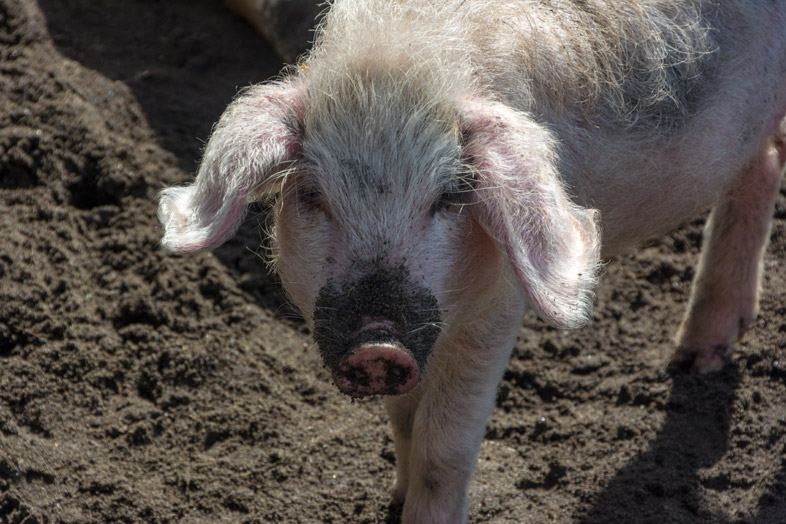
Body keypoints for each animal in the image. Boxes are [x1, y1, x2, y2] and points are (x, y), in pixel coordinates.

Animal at [158, 1, 786, 522]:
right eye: (313, 196)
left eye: (451, 196)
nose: (377, 343)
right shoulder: (422, 335)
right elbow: (404, 420)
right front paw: (394, 499)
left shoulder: (498, 305)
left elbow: (444, 444)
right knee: (764, 163)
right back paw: (697, 360)